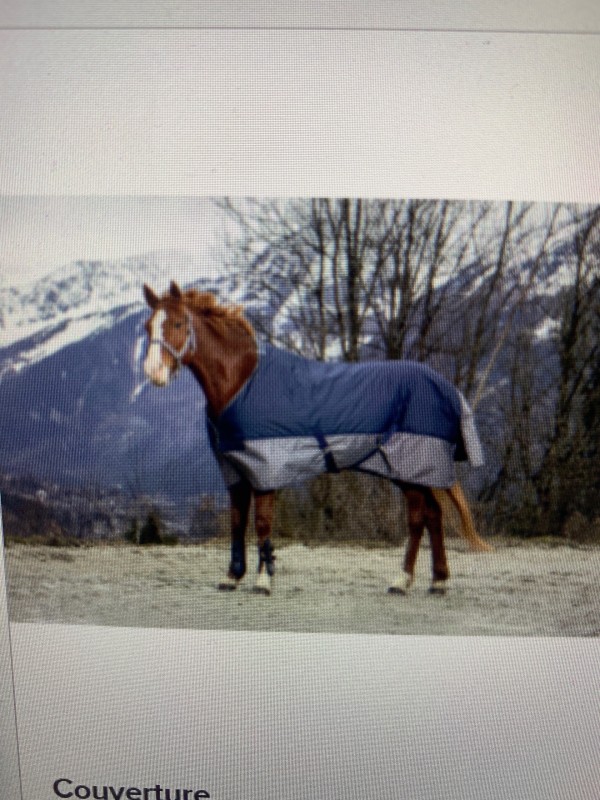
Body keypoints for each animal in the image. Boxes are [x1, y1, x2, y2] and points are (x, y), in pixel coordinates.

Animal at [142, 281, 491, 596]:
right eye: (148, 326)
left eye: (177, 323)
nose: (153, 372)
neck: (241, 383)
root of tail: (446, 388)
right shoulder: (235, 471)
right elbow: (237, 523)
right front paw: (232, 577)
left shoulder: (265, 470)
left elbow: (262, 524)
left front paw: (263, 581)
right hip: (407, 471)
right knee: (430, 515)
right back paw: (428, 581)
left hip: (411, 466)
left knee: (421, 517)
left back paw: (410, 580)